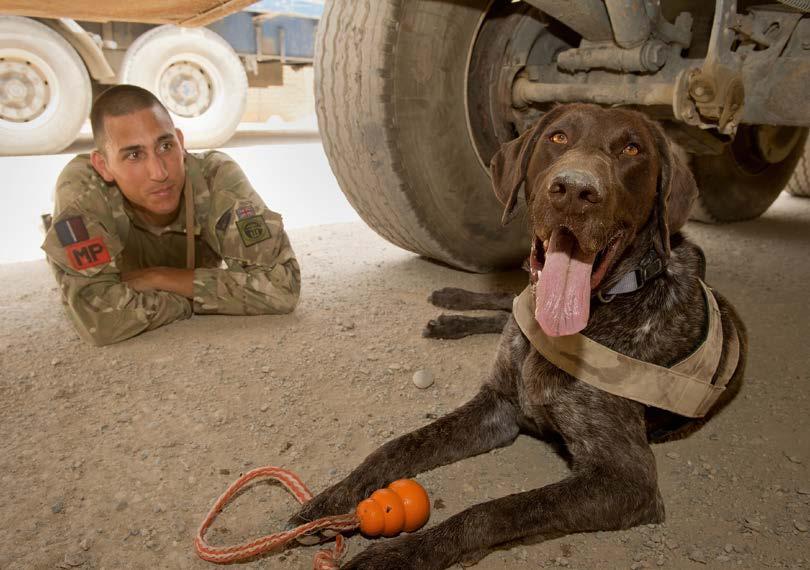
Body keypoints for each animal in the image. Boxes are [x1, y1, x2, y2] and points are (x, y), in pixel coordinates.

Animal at [292, 104, 748, 569]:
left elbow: (493, 511)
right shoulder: (497, 405)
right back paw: (450, 308)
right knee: (505, 305)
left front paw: (400, 554)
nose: (574, 190)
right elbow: (396, 447)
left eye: (632, 149)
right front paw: (331, 501)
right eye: (557, 138)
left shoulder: (625, 480)